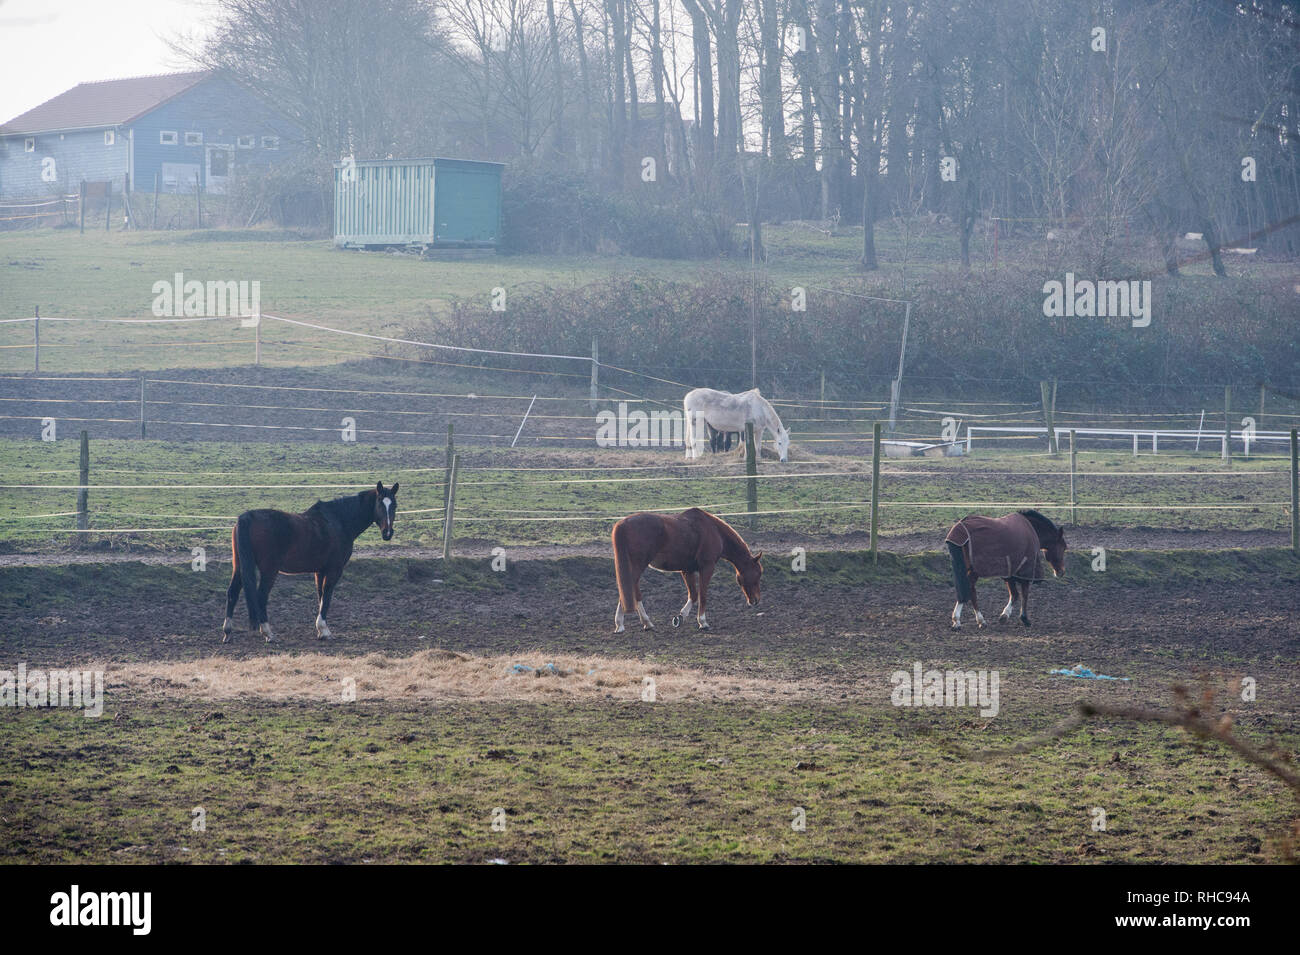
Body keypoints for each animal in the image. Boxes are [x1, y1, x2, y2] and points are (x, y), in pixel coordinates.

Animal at [223, 480, 397, 647]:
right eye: (380, 503)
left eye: (394, 505)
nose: (387, 533)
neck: (338, 521)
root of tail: (247, 517)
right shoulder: (334, 570)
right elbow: (327, 595)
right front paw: (325, 631)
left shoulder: (319, 571)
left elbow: (320, 595)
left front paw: (320, 631)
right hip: (269, 571)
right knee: (261, 597)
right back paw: (268, 633)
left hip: (240, 567)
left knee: (232, 593)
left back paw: (227, 633)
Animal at [608, 509, 759, 634]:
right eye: (757, 575)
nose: (756, 601)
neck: (713, 530)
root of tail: (623, 523)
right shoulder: (707, 568)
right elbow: (702, 595)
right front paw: (703, 622)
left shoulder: (687, 570)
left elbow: (693, 595)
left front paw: (680, 617)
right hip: (637, 565)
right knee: (628, 588)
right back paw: (628, 623)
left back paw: (638, 623)